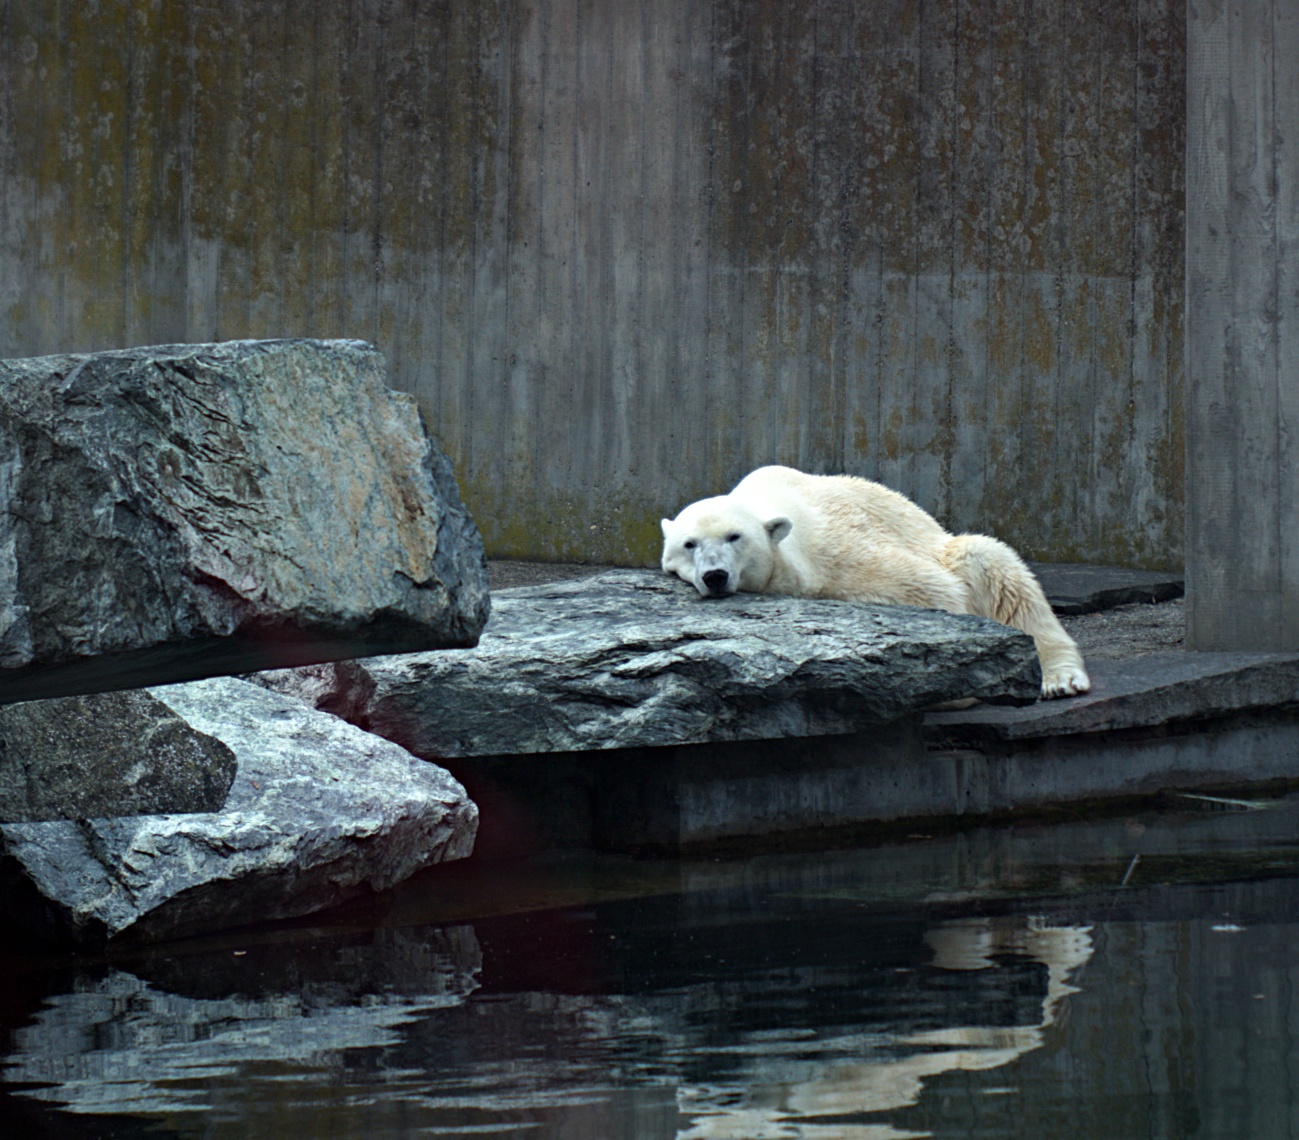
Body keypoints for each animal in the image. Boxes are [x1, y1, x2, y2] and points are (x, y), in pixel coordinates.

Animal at [665, 467, 1091, 701]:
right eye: (689, 544)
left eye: (735, 537)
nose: (715, 576)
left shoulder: (839, 550)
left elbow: (930, 587)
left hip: (949, 546)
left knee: (998, 571)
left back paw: (1059, 677)